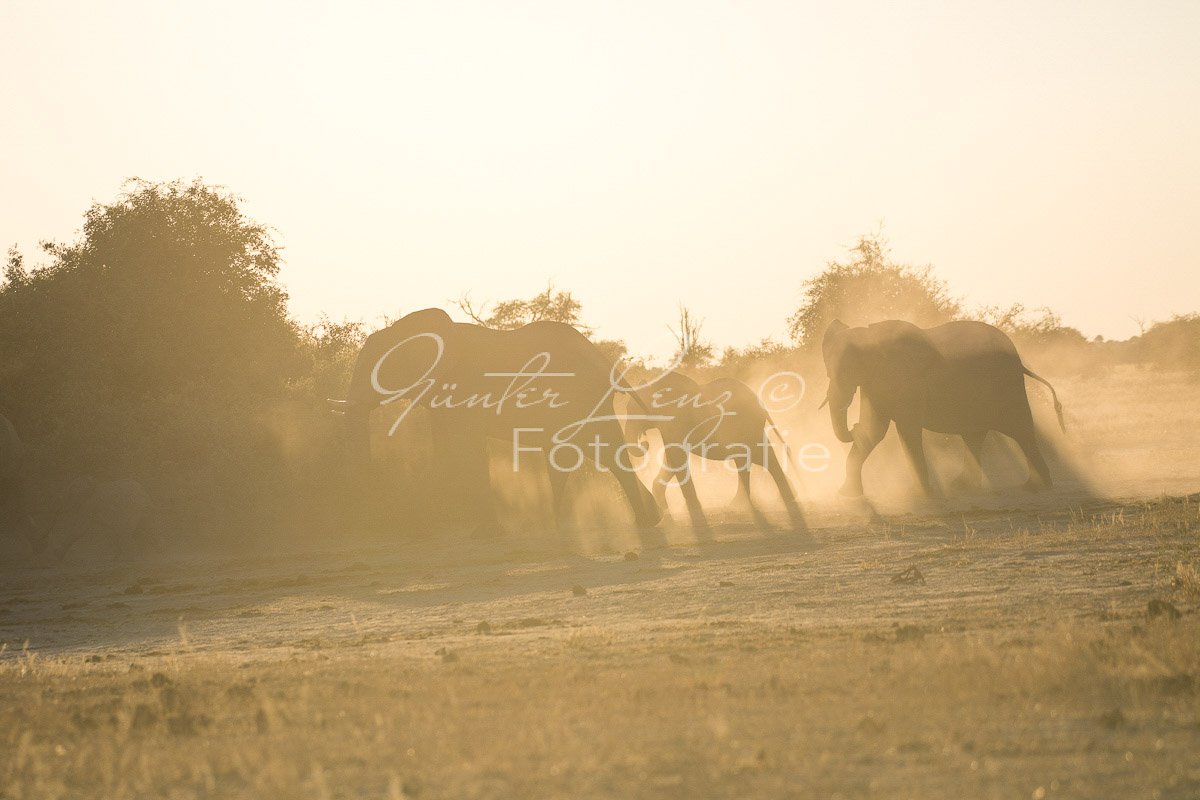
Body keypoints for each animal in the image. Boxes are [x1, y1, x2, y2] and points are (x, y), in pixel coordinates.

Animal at [328, 309, 662, 534]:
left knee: (607, 452)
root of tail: (607, 363)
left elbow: (468, 448)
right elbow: (446, 447)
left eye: (380, 370)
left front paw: (483, 529)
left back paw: (643, 523)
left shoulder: (467, 386)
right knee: (575, 458)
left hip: (585, 398)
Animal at [628, 371, 806, 534]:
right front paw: (664, 508)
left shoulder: (677, 421)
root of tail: (760, 403)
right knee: (752, 458)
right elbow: (671, 459)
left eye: (634, 409)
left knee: (758, 457)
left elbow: (677, 457)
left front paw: (691, 508)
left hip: (747, 425)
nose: (644, 442)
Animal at [820, 316, 1065, 496]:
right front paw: (846, 494)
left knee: (1020, 431)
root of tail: (1019, 361)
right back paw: (963, 487)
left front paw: (920, 495)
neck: (868, 333)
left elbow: (906, 430)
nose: (853, 427)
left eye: (846, 369)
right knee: (974, 436)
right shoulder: (875, 383)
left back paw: (1035, 487)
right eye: (829, 372)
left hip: (1008, 386)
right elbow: (874, 431)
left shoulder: (906, 380)